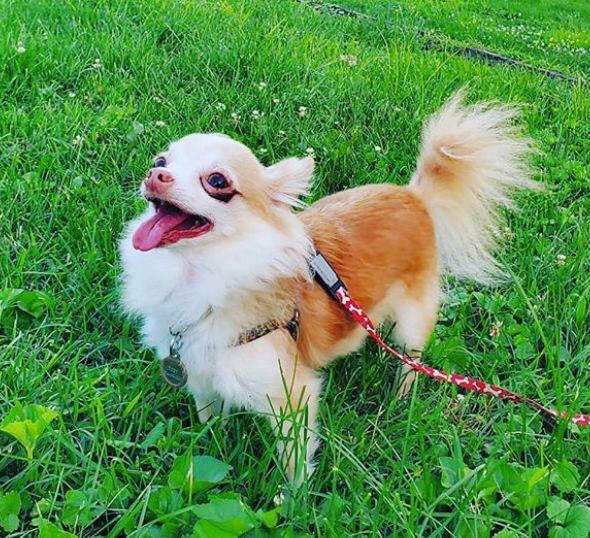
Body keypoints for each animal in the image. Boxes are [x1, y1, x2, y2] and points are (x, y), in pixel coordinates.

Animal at [120, 93, 540, 482]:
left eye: (217, 181)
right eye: (161, 161)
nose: (154, 175)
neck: (196, 272)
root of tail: (414, 195)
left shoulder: (291, 397)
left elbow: (294, 456)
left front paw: (295, 499)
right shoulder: (200, 376)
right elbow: (210, 420)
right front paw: (210, 445)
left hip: (412, 322)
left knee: (410, 361)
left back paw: (398, 399)